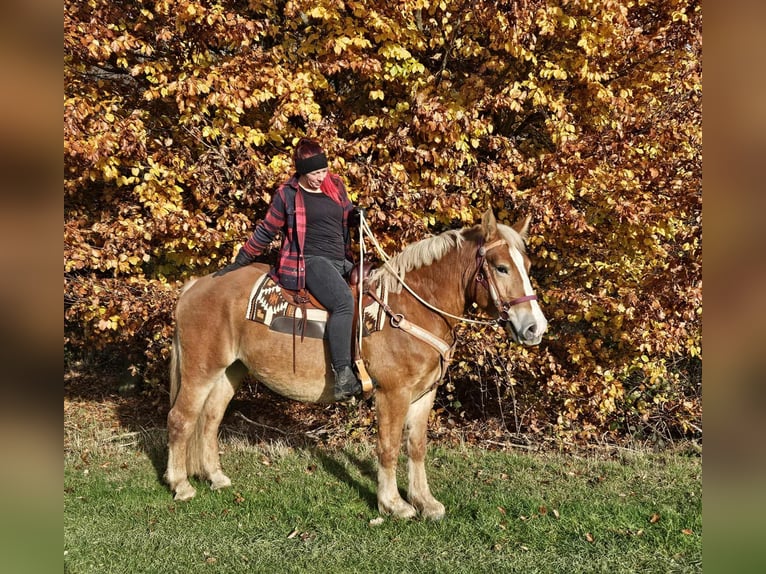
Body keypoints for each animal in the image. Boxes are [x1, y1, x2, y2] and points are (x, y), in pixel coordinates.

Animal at [165, 209, 547, 520]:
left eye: (528, 268)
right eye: (501, 268)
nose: (535, 328)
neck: (412, 307)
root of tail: (195, 285)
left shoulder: (424, 395)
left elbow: (416, 447)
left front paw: (425, 502)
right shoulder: (392, 394)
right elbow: (389, 447)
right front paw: (393, 504)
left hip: (230, 371)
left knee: (210, 419)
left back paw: (216, 477)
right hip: (200, 370)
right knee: (181, 419)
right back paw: (181, 484)